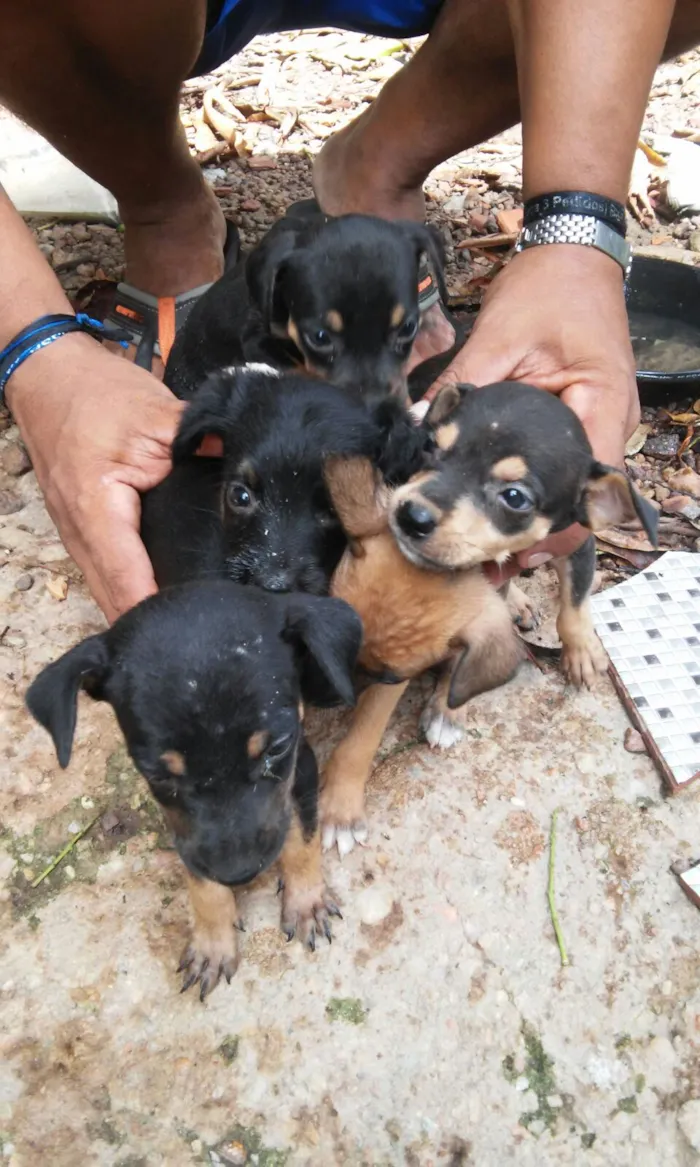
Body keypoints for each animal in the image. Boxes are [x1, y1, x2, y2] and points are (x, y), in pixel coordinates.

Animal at [23, 583, 361, 1003]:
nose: (239, 874)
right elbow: (200, 877)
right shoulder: (181, 825)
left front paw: (306, 903)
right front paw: (213, 944)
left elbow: (303, 837)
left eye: (278, 747)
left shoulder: (302, 764)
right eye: (156, 773)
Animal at [319, 382, 658, 858]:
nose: (409, 515)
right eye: (430, 447)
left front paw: (581, 652)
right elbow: (363, 735)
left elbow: (573, 601)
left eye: (514, 497)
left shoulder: (576, 542)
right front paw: (340, 809)